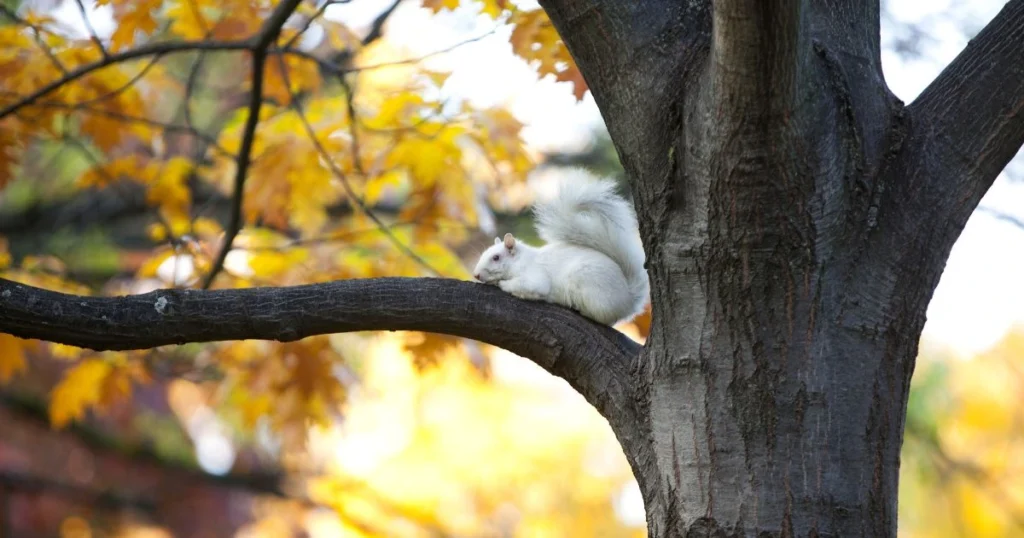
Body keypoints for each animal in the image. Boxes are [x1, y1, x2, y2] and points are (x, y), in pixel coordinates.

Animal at [471, 170, 647, 325]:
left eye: (496, 257)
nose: (476, 275)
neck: (520, 260)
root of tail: (628, 300)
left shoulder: (535, 276)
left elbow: (531, 286)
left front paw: (502, 284)